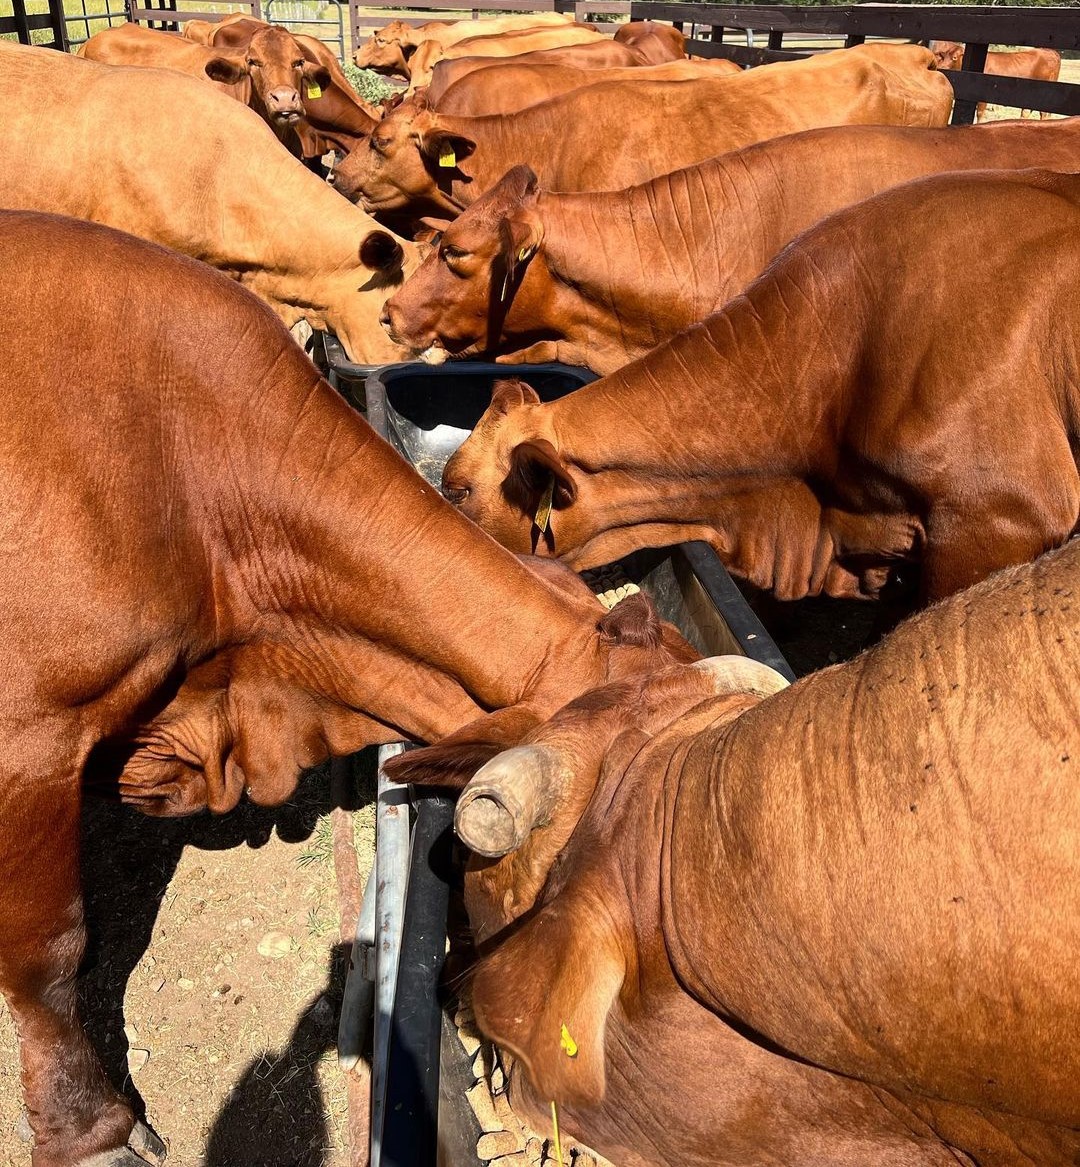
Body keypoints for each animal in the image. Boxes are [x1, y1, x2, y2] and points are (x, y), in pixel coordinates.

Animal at [931, 39, 1062, 119]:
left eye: (954, 57)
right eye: (943, 56)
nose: (942, 67)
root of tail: (1050, 51)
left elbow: (980, 114)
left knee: (1043, 114)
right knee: (1027, 112)